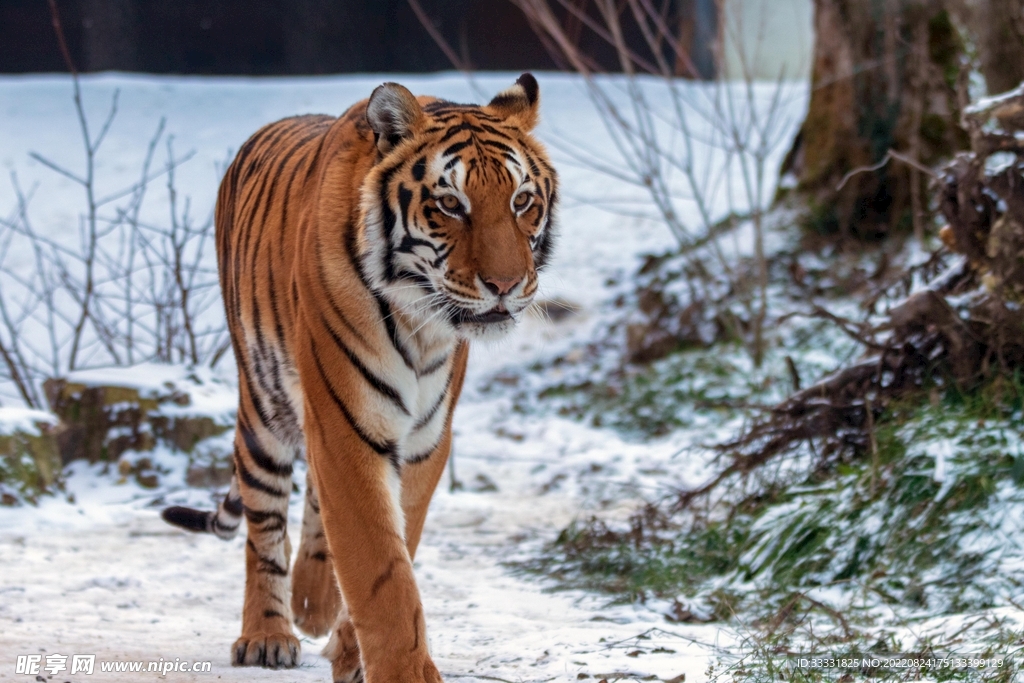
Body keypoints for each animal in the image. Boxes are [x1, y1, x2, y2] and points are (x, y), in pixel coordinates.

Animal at [160, 73, 557, 683]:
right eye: (450, 204)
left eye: (522, 201)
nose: (507, 285)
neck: (421, 323)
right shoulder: (348, 425)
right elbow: (381, 571)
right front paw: (403, 672)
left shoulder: (423, 440)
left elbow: (394, 547)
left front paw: (350, 653)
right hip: (265, 409)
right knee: (263, 525)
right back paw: (268, 634)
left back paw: (313, 605)